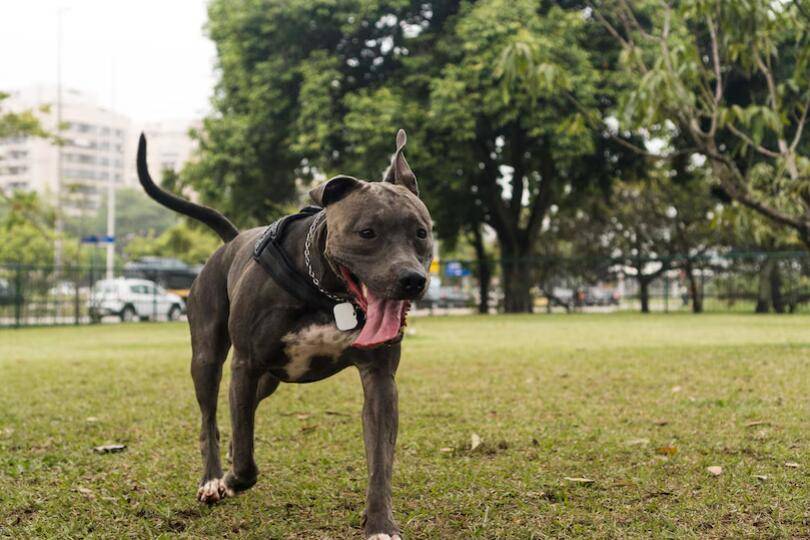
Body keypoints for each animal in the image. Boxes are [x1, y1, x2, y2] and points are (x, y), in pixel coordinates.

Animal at [136, 129, 432, 536]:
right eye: (367, 233)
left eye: (421, 232)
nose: (411, 280)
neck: (325, 292)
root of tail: (232, 240)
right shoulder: (245, 365)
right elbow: (245, 460)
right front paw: (232, 479)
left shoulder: (380, 379)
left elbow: (380, 461)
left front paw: (380, 523)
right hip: (207, 359)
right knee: (210, 418)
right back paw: (213, 478)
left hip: (271, 379)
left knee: (243, 412)